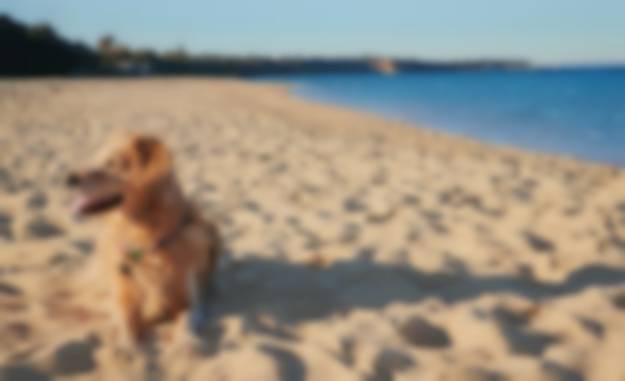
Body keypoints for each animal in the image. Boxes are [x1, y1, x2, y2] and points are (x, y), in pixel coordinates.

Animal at [66, 134, 219, 344]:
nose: (68, 179)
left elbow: (185, 321)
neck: (147, 239)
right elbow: (125, 320)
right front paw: (126, 345)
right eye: (95, 158)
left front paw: (185, 342)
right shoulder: (124, 292)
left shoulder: (188, 298)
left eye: (113, 163)